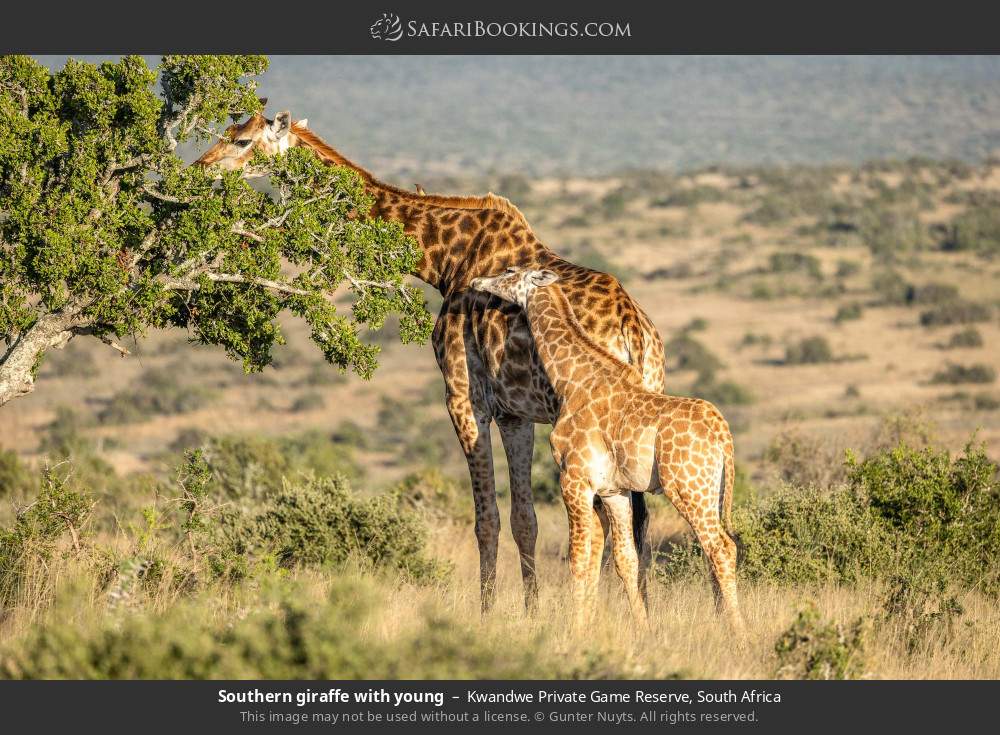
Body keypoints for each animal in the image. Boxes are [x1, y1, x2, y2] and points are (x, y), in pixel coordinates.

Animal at [194, 108, 666, 613]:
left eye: (242, 141)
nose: (201, 167)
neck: (444, 259)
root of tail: (634, 332)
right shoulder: (515, 413)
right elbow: (524, 519)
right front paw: (532, 613)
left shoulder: (464, 396)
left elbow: (486, 518)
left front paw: (487, 615)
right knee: (632, 534)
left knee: (603, 529)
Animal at [471, 267, 743, 631]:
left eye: (510, 272)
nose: (477, 282)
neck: (570, 379)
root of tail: (722, 434)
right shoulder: (615, 490)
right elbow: (626, 559)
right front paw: (643, 629)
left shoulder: (574, 479)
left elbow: (578, 558)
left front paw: (576, 629)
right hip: (712, 489)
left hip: (687, 487)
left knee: (721, 548)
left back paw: (738, 633)